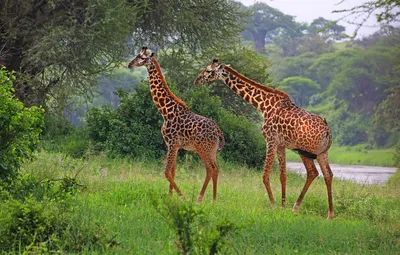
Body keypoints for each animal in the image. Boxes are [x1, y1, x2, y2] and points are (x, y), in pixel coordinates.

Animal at [127, 47, 225, 202]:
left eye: (142, 58)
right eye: (137, 55)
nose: (130, 64)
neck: (165, 111)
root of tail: (219, 131)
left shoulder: (172, 143)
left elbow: (166, 172)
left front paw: (182, 197)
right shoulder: (174, 145)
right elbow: (173, 172)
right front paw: (170, 196)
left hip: (202, 148)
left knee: (210, 169)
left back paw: (200, 198)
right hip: (212, 150)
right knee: (216, 169)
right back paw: (214, 199)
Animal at [194, 59, 334, 219]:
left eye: (208, 71)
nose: (196, 80)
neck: (264, 105)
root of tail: (327, 131)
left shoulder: (270, 140)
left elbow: (265, 175)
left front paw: (273, 204)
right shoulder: (281, 145)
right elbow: (283, 176)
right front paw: (282, 205)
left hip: (305, 150)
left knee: (313, 172)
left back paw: (296, 207)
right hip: (322, 152)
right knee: (328, 174)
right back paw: (330, 214)